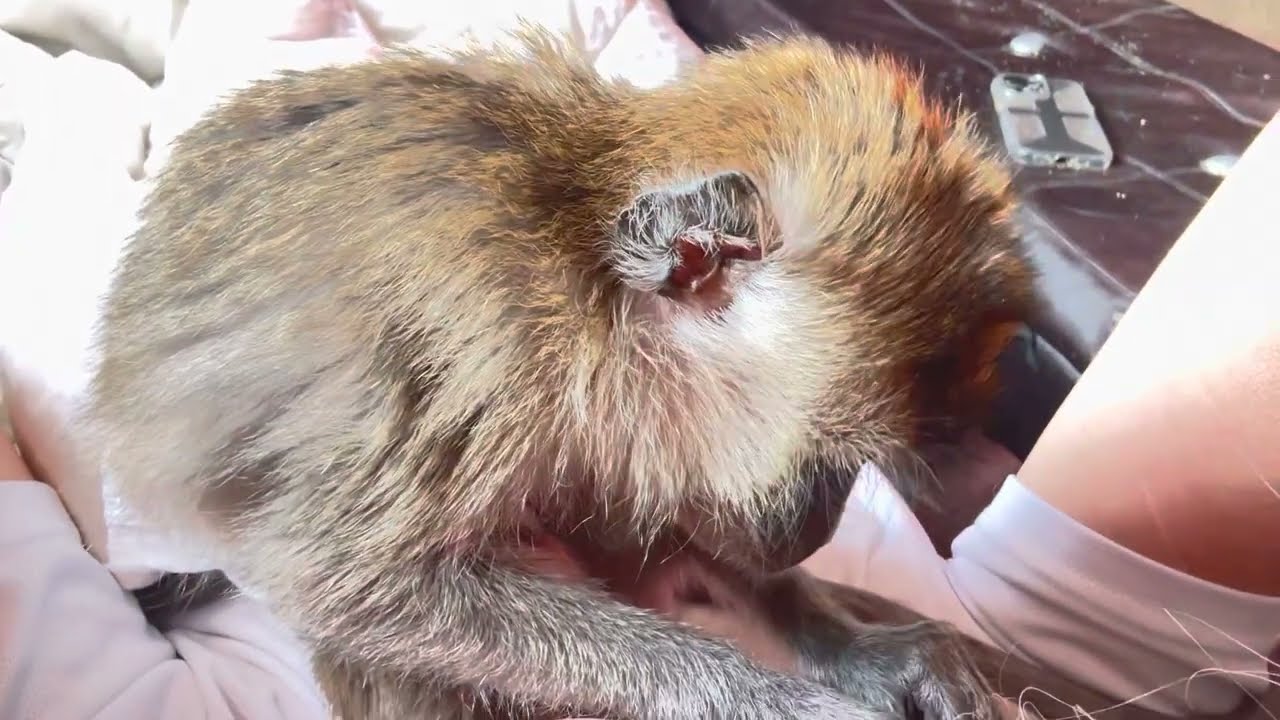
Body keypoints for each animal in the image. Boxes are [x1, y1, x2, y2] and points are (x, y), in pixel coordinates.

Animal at [82, 28, 1038, 720]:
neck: (579, 266)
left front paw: (865, 652)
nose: (814, 533)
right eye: (831, 466)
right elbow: (352, 589)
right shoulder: (477, 351)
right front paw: (775, 701)